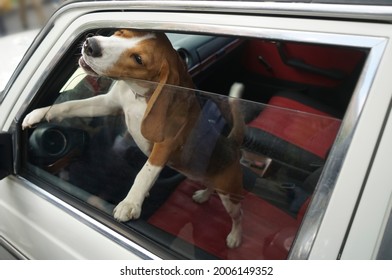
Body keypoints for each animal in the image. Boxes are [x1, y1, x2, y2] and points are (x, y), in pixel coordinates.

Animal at [22, 29, 245, 247]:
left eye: (138, 59)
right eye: (121, 32)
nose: (90, 45)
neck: (137, 96)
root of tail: (231, 144)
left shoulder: (165, 144)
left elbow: (144, 173)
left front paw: (131, 203)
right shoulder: (108, 104)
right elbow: (70, 106)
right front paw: (40, 113)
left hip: (230, 196)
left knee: (238, 215)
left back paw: (235, 236)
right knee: (211, 186)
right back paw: (204, 195)